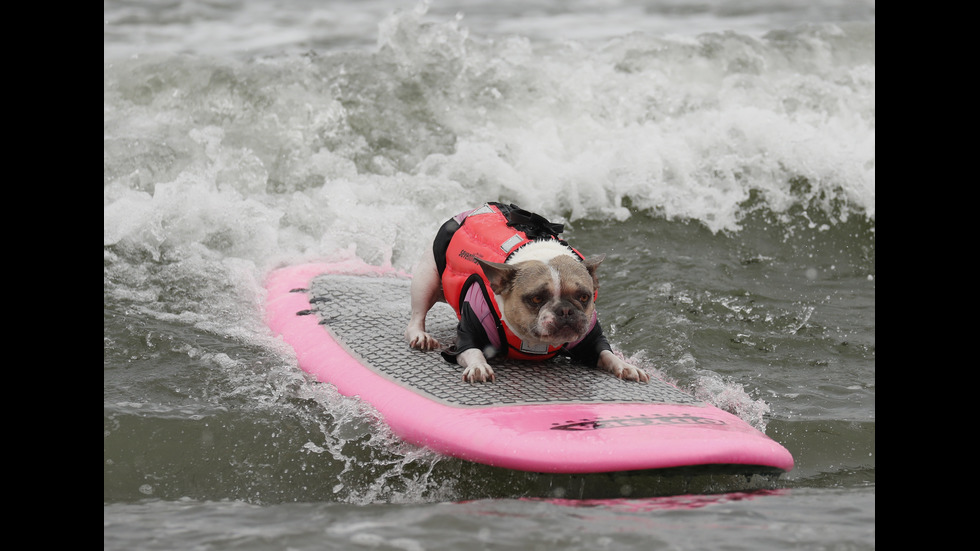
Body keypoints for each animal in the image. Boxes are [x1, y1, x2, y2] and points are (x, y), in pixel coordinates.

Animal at [402, 202, 648, 384]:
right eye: (536, 298)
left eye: (584, 297)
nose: (565, 311)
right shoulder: (468, 335)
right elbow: (473, 351)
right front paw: (479, 366)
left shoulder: (590, 339)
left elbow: (606, 353)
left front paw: (626, 366)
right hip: (427, 278)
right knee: (418, 313)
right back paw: (420, 336)